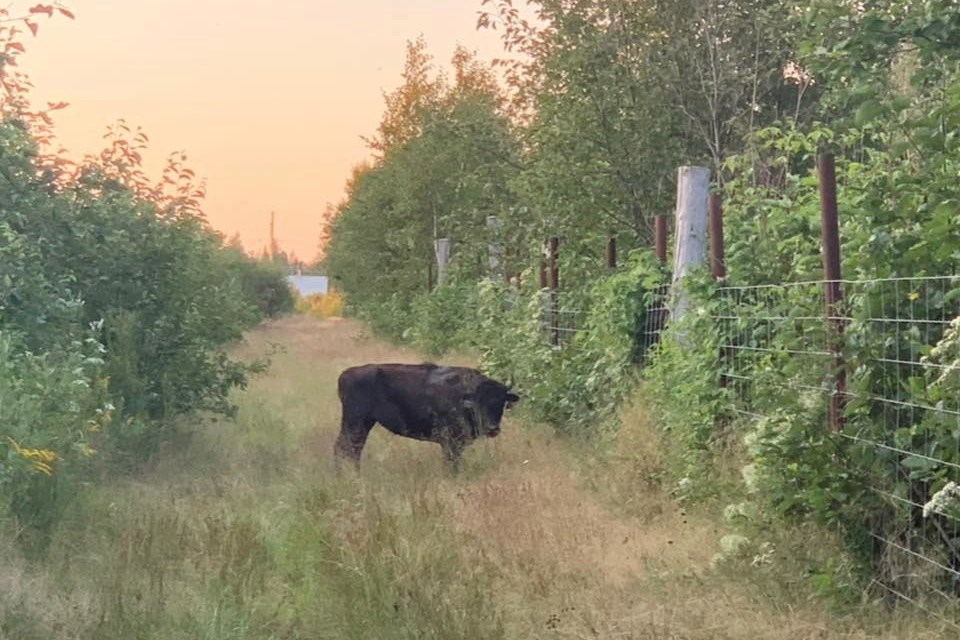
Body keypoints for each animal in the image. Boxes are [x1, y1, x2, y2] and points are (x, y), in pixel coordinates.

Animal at [336, 362, 516, 468]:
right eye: (479, 402)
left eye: (501, 401)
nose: (493, 428)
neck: (464, 396)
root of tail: (345, 374)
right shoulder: (450, 442)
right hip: (355, 422)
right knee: (344, 448)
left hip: (364, 423)